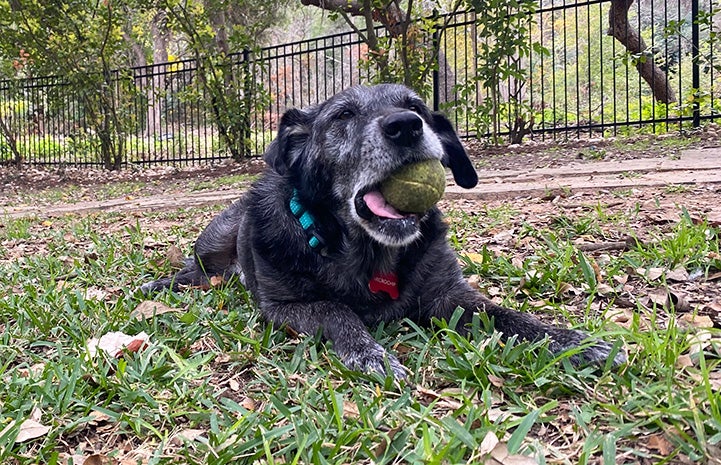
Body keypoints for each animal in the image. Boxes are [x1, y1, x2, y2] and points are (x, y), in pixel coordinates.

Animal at [141, 83, 624, 378]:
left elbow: (509, 316)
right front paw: (371, 354)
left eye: (416, 107)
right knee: (196, 271)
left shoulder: (449, 297)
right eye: (342, 116)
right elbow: (338, 311)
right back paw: (162, 284)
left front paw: (577, 342)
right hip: (218, 237)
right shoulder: (283, 307)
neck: (363, 251)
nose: (406, 126)